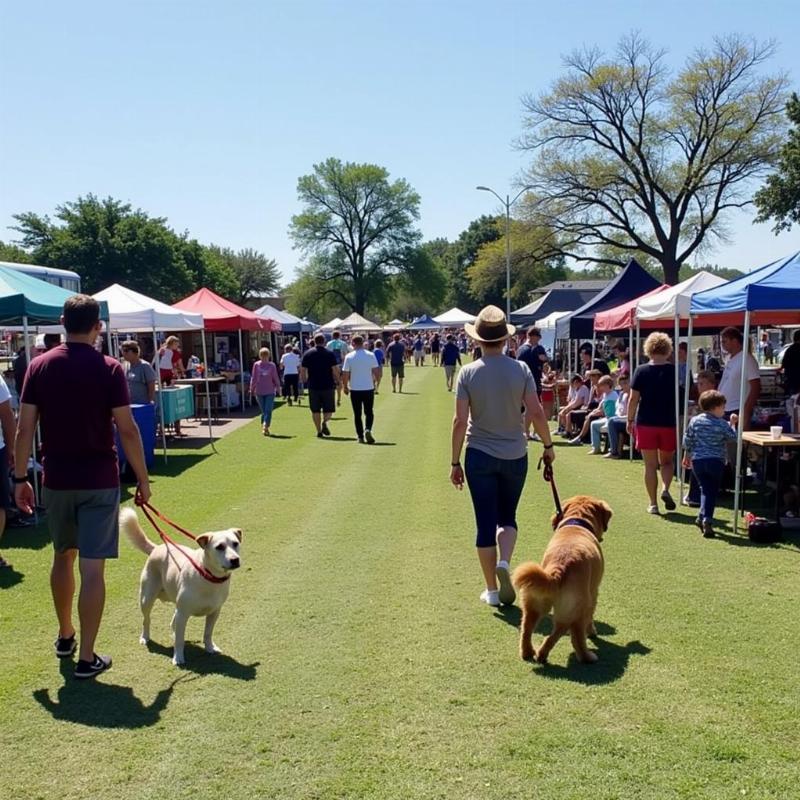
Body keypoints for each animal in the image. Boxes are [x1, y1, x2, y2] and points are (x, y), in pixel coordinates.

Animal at [120, 510, 242, 664]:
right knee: (146, 620)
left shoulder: (214, 612)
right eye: (219, 547)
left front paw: (210, 647)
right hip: (146, 599)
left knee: (172, 622)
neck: (208, 576)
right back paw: (145, 637)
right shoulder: (183, 613)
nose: (235, 560)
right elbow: (179, 640)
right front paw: (178, 657)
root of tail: (157, 548)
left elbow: (208, 633)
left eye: (235, 543)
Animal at [512, 496, 612, 664]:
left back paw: (529, 652)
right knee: (570, 634)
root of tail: (557, 570)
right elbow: (590, 618)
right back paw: (585, 656)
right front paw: (592, 631)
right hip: (577, 608)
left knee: (527, 629)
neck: (576, 522)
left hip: (534, 602)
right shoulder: (594, 592)